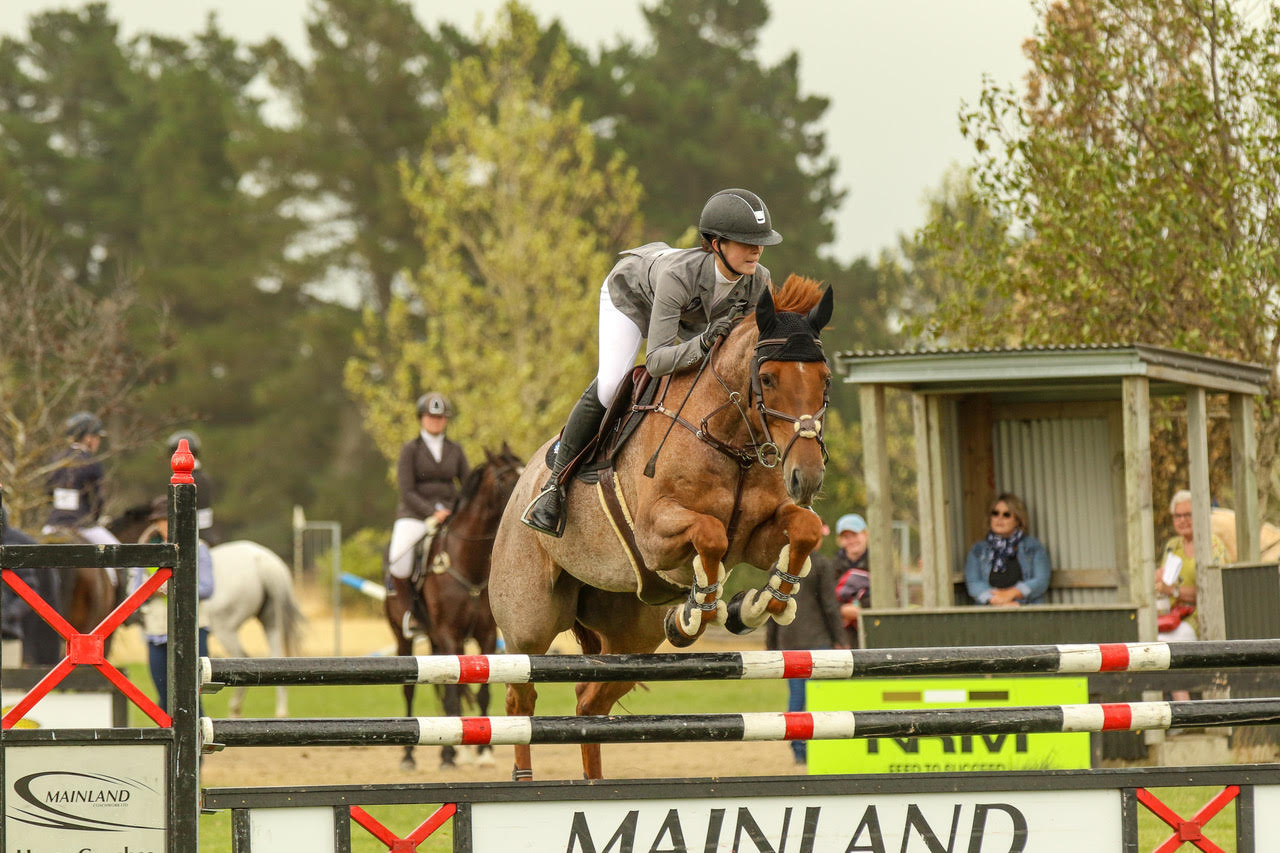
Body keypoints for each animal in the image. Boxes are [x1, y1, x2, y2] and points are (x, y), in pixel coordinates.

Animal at [384, 445, 524, 768]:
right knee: (409, 690)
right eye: (505, 480)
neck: (467, 563)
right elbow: (452, 694)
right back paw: (411, 756)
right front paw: (451, 754)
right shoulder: (450, 635)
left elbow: (482, 692)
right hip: (404, 638)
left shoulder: (486, 636)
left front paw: (484, 753)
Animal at [486, 274, 829, 778]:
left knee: (590, 702)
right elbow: (710, 536)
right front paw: (699, 611)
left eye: (824, 380)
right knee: (519, 697)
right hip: (529, 623)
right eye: (767, 379)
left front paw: (759, 604)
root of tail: (519, 491)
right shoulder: (655, 537)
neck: (729, 440)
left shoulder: (757, 536)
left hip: (632, 634)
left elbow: (803, 528)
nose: (807, 476)